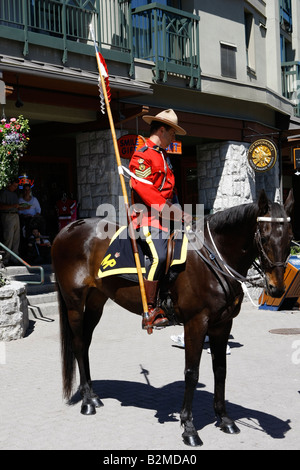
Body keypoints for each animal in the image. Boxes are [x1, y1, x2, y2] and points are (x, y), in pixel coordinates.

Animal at [51, 189, 292, 446]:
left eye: (290, 239)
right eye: (264, 238)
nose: (276, 289)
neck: (213, 259)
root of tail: (67, 229)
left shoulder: (223, 324)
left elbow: (220, 369)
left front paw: (224, 419)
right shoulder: (196, 323)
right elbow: (192, 373)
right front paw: (189, 427)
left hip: (97, 300)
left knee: (86, 343)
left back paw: (93, 394)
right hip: (74, 303)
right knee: (78, 344)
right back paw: (87, 401)